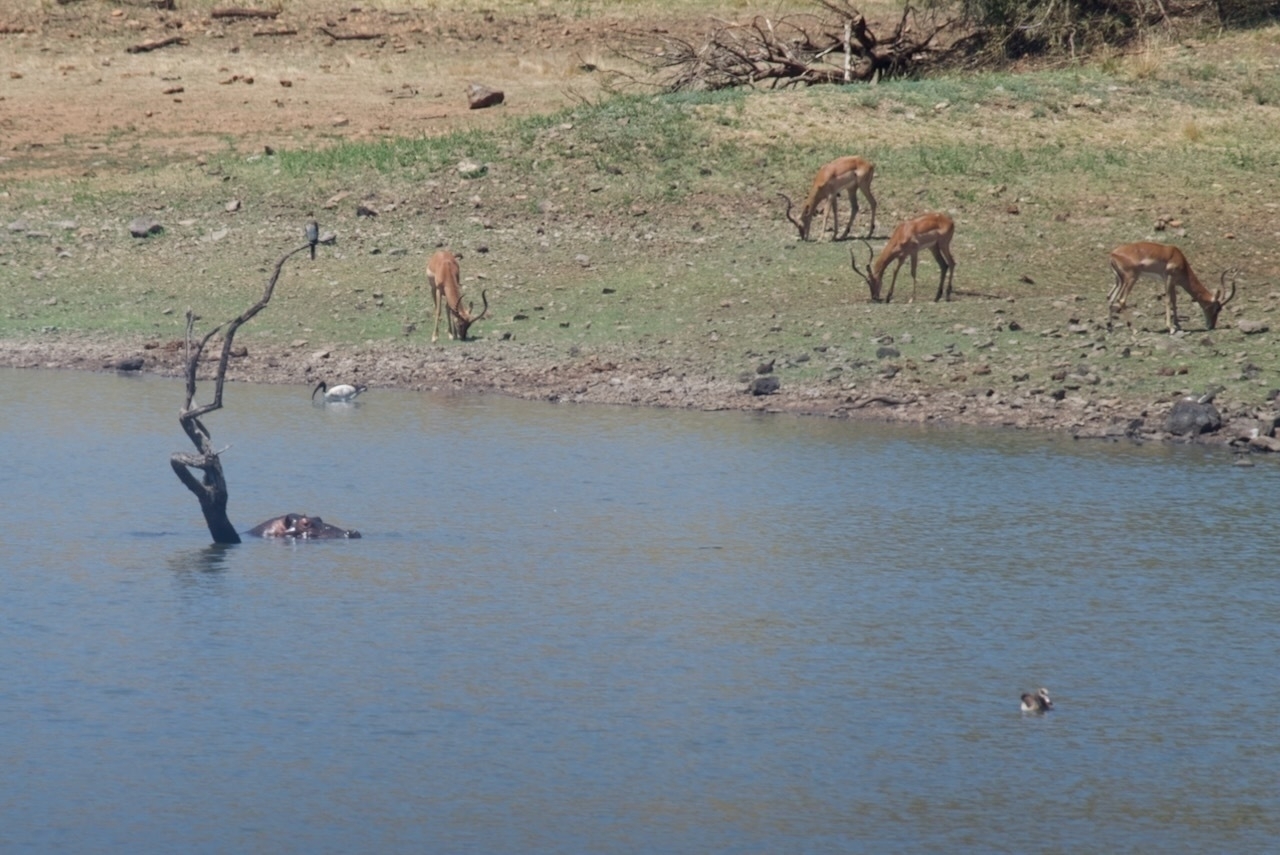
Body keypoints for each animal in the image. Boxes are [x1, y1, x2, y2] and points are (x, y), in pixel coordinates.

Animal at [1105, 243, 1233, 332]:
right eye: (1217, 308)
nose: (1211, 326)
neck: (1179, 258)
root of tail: (1113, 254)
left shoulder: (1173, 282)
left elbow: (1174, 300)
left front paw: (1178, 325)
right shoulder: (1169, 278)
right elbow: (1168, 300)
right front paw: (1170, 328)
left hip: (1119, 280)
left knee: (1110, 297)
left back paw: (1110, 326)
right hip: (1131, 279)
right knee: (1121, 299)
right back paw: (1134, 329)